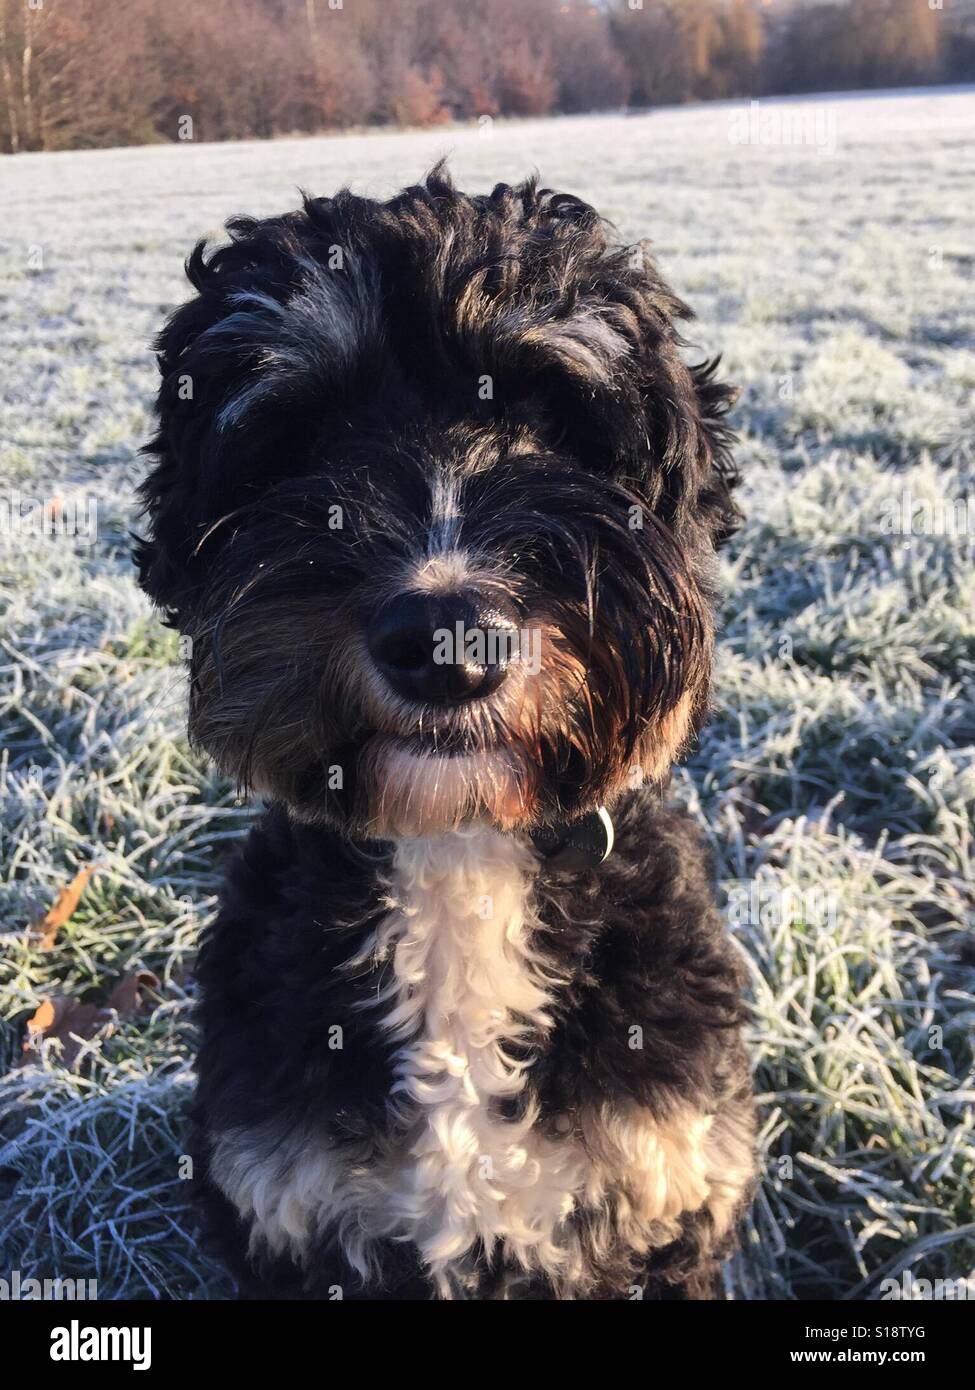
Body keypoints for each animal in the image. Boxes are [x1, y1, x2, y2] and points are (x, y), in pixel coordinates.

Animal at [137, 168, 756, 1295]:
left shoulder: (664, 1185)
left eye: (555, 418)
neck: (456, 847)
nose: (444, 639)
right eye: (305, 431)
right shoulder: (287, 1205)